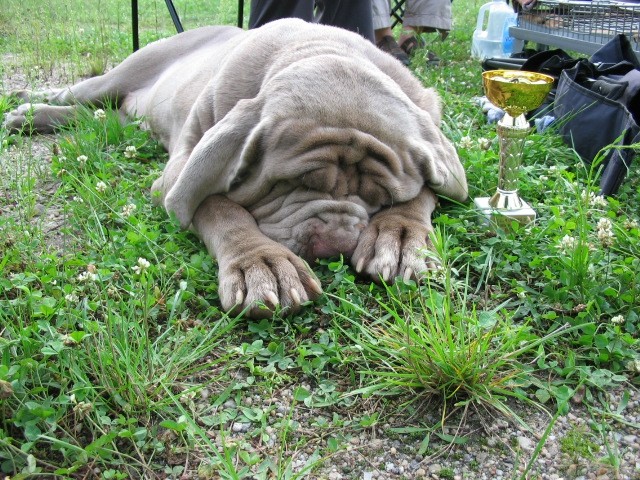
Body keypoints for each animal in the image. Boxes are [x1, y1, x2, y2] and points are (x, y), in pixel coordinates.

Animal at [2, 19, 468, 318]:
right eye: (290, 183)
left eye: (381, 197)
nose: (334, 246)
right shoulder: (177, 171)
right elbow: (216, 205)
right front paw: (261, 264)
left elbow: (426, 192)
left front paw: (402, 236)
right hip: (122, 72)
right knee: (78, 94)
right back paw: (25, 107)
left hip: (124, 114)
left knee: (97, 118)